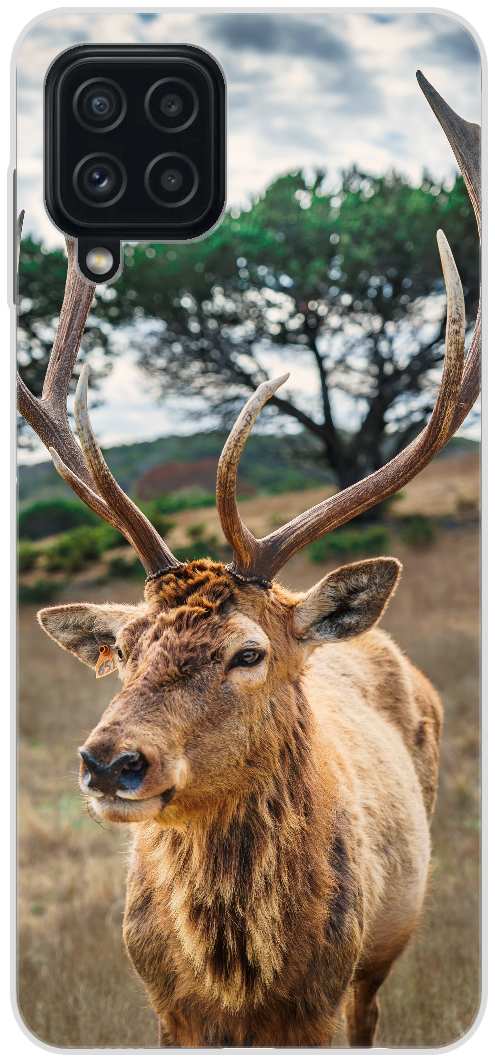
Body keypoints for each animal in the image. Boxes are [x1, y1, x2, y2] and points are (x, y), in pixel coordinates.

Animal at [18, 73, 480, 1047]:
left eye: (248, 652)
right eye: (123, 648)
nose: (110, 763)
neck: (240, 983)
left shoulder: (325, 999)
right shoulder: (164, 1010)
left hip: (385, 949)